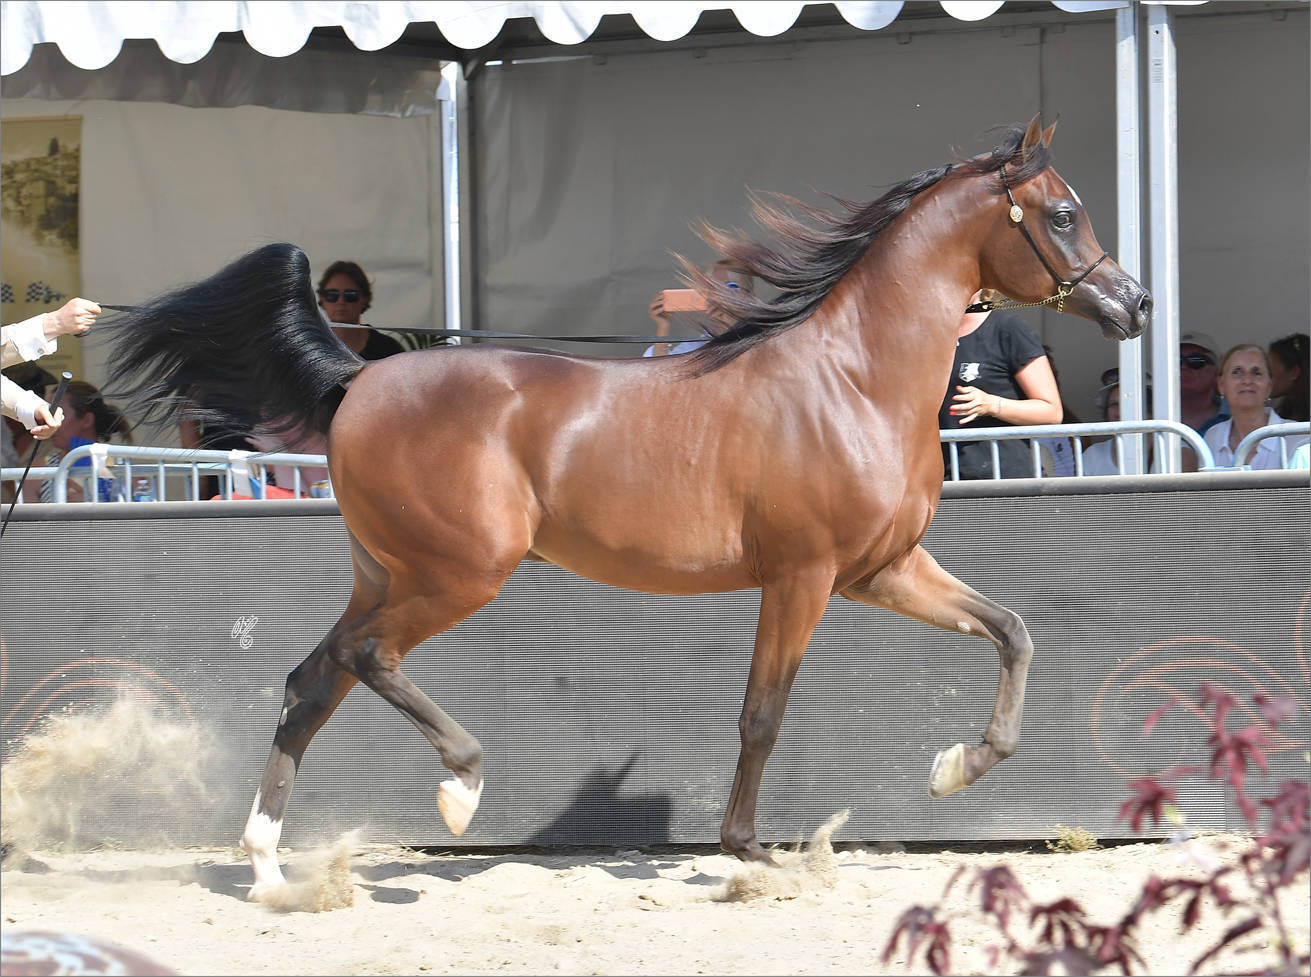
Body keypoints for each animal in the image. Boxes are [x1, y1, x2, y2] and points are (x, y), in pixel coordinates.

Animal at [104, 117, 1151, 900]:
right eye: (1062, 213)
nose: (1133, 304)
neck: (852, 379)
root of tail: (359, 377)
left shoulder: (881, 570)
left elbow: (1011, 631)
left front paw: (953, 766)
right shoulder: (803, 576)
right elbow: (761, 713)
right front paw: (751, 852)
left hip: (386, 571)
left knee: (311, 680)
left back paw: (269, 868)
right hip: (459, 572)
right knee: (367, 659)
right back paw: (460, 791)